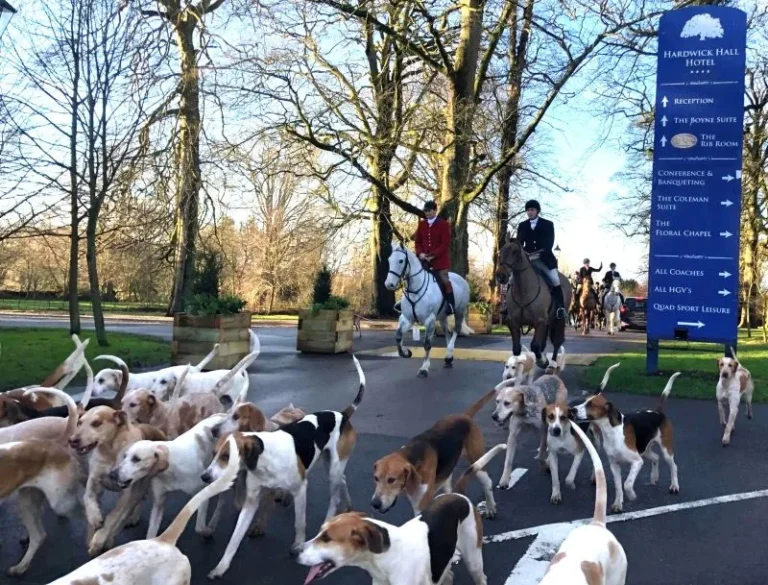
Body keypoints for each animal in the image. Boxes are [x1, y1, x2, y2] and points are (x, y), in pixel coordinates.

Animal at [370, 390, 498, 516]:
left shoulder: (421, 506)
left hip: (477, 460)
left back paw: (490, 507)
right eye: (376, 478)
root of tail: (464, 416)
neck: (414, 456)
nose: (375, 504)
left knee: (487, 482)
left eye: (391, 480)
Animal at [388, 243, 472, 376]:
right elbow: (398, 336)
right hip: (443, 317)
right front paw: (406, 353)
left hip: (459, 311)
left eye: (401, 261)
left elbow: (427, 344)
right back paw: (448, 359)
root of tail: (461, 278)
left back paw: (449, 353)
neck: (415, 291)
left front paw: (424, 367)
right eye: (389, 260)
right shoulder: (407, 319)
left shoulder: (430, 320)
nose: (389, 284)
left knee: (456, 331)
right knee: (447, 332)